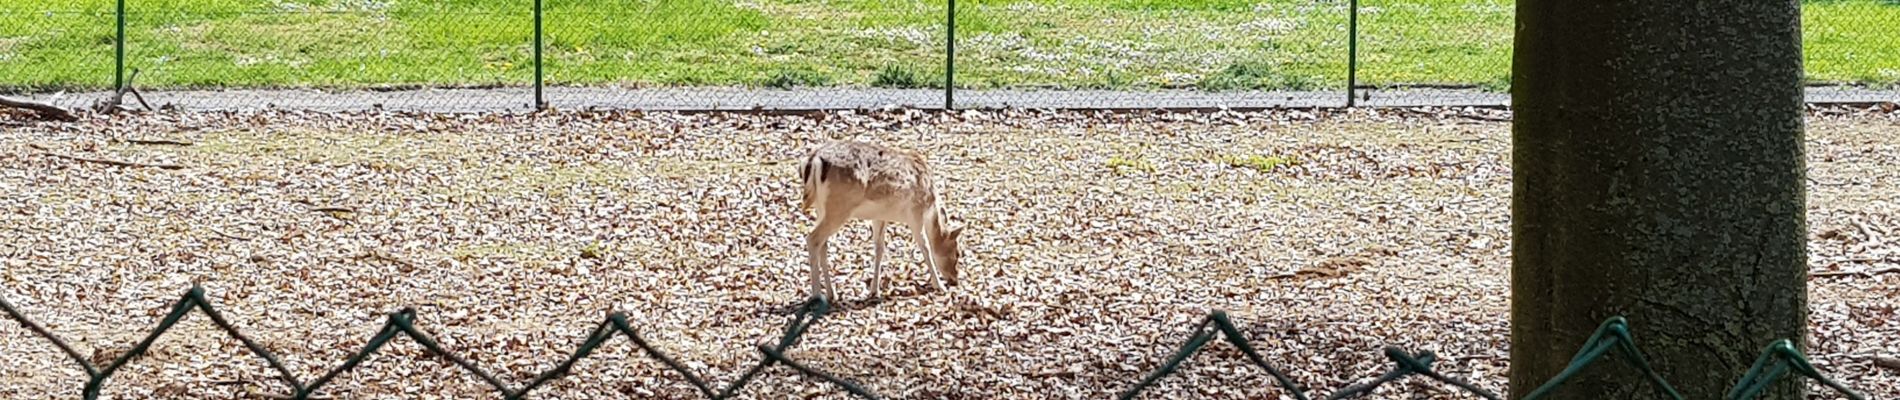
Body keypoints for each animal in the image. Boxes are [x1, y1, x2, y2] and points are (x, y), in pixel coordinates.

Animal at [798, 140, 965, 299]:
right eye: (957, 253)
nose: (955, 280)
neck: (930, 204)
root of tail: (814, 160)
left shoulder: (880, 216)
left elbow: (879, 248)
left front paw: (874, 291)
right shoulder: (915, 212)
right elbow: (925, 246)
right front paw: (939, 286)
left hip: (821, 208)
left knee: (823, 244)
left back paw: (832, 294)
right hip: (839, 208)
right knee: (813, 239)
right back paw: (817, 295)